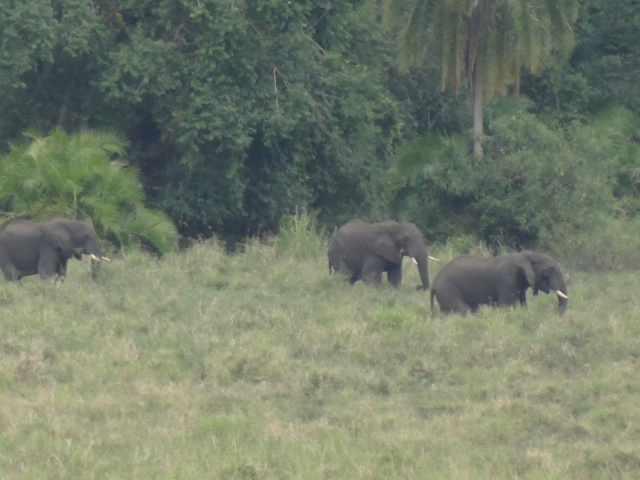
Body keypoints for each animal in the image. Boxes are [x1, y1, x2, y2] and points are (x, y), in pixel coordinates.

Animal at [430, 251, 568, 316]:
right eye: (550, 270)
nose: (558, 316)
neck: (528, 255)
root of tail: (434, 283)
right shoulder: (507, 280)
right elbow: (506, 306)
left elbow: (523, 304)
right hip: (448, 289)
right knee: (464, 311)